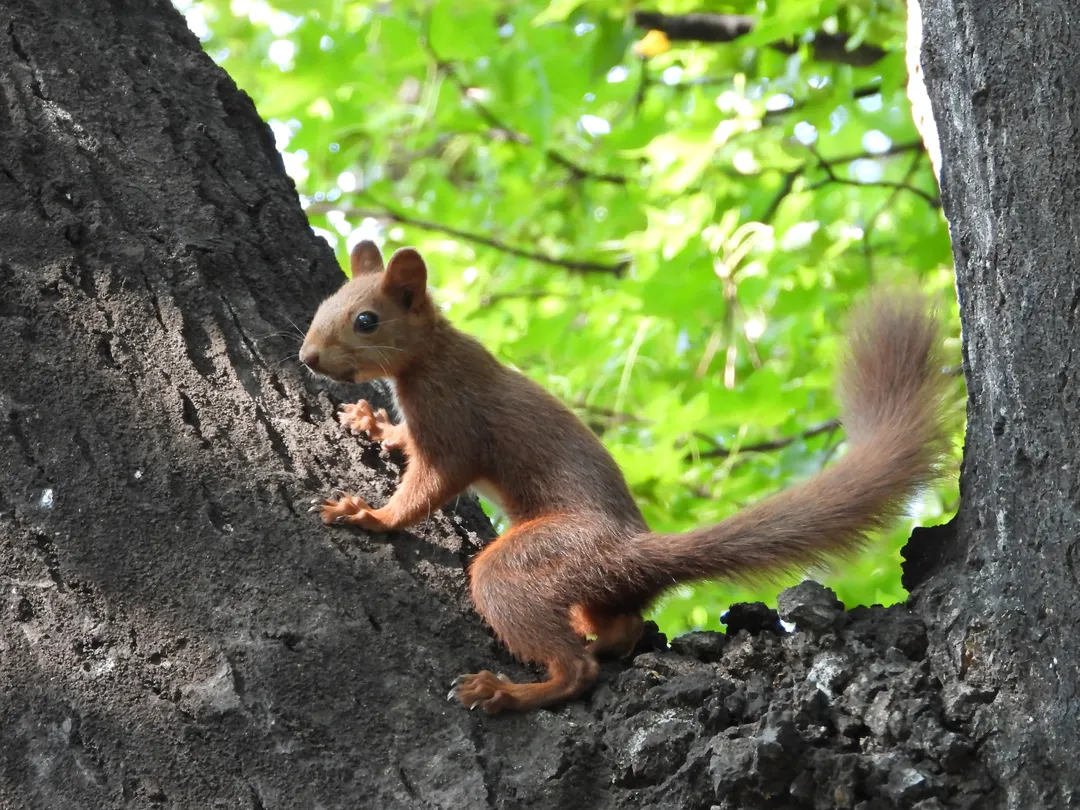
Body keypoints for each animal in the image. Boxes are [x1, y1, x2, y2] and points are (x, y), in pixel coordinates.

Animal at [300, 240, 950, 717]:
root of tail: (629, 549)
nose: (307, 358)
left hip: (537, 560)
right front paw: (371, 421)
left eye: (366, 320)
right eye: (323, 303)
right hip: (594, 588)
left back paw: (509, 691)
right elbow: (404, 442)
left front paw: (370, 514)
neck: (429, 355)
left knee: (576, 667)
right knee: (622, 623)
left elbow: (427, 488)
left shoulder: (454, 425)